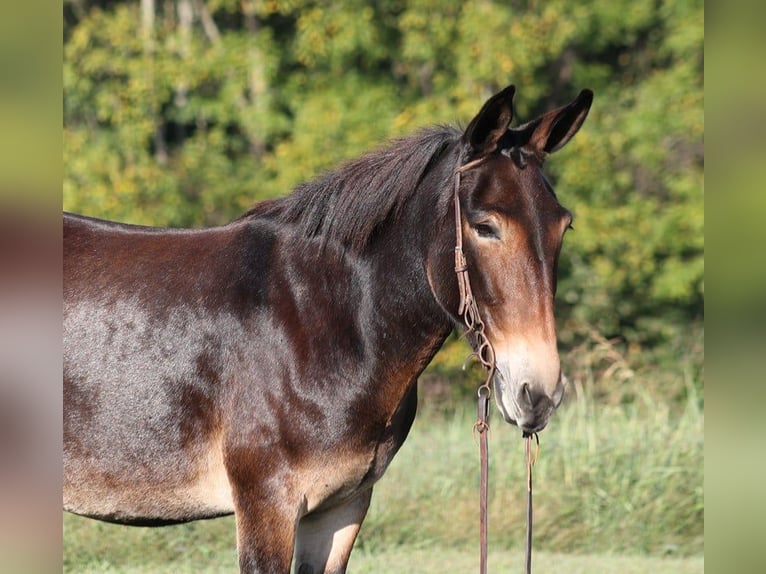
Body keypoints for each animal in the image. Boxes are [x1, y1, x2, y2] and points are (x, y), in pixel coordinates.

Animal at [63, 84, 593, 573]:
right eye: (485, 227)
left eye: (563, 226)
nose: (539, 395)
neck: (325, 322)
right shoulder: (268, 506)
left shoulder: (342, 506)